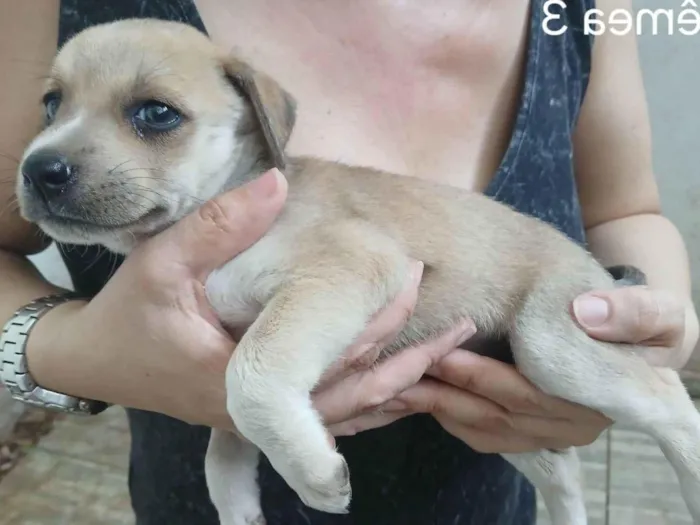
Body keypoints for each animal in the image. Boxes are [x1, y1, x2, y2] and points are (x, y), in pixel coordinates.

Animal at [15, 17, 700, 524]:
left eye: (155, 114)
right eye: (50, 103)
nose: (38, 170)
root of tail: (596, 270)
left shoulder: (343, 273)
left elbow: (251, 383)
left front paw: (316, 477)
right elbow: (223, 451)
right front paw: (243, 508)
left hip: (553, 346)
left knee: (675, 409)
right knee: (564, 472)